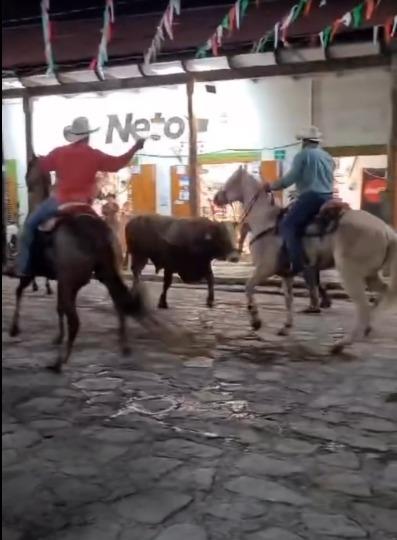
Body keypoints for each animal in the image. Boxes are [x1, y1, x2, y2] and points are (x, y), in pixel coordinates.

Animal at [9, 157, 152, 372]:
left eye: (30, 168)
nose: (24, 180)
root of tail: (96, 233)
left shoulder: (32, 272)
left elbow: (19, 292)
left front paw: (14, 328)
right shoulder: (59, 280)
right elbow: (58, 307)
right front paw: (58, 337)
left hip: (71, 282)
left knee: (75, 321)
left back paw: (59, 362)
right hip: (106, 276)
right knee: (119, 304)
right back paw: (124, 346)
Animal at [213, 167, 396, 352]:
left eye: (231, 181)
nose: (216, 198)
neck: (265, 221)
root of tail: (387, 231)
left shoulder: (265, 268)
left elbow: (248, 287)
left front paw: (255, 321)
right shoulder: (286, 274)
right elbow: (288, 299)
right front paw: (286, 327)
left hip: (350, 275)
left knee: (363, 307)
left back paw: (342, 343)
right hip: (370, 275)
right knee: (383, 293)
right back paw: (366, 327)